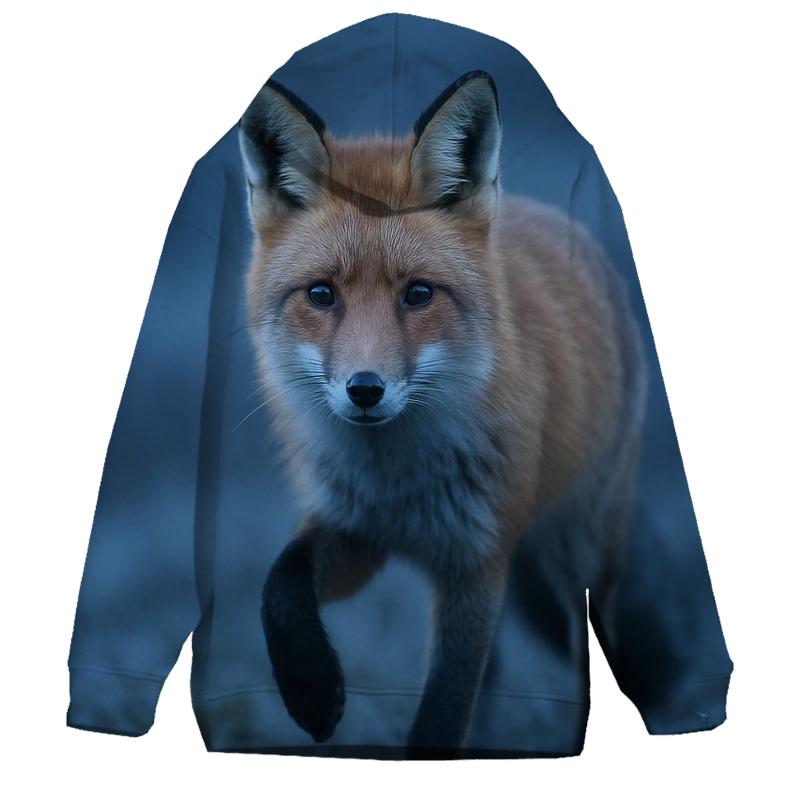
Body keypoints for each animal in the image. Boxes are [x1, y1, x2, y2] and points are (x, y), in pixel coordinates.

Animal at [237, 69, 647, 756]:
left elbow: (443, 714)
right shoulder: (357, 532)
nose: (365, 390)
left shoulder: (476, 562)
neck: (399, 482)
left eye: (418, 294)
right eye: (321, 294)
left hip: (570, 554)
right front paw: (312, 689)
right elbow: (279, 584)